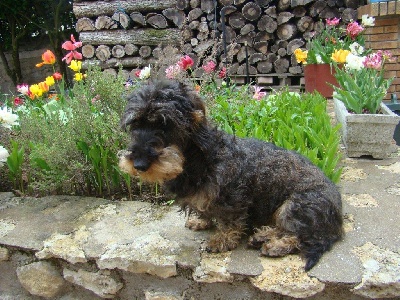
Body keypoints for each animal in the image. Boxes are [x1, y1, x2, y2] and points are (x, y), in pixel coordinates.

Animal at [119, 78, 344, 270]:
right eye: (135, 124)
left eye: (165, 125)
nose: (138, 164)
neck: (197, 158)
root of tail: (337, 221)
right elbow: (204, 210)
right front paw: (201, 221)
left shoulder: (233, 197)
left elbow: (230, 222)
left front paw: (222, 240)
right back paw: (262, 236)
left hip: (293, 207)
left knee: (300, 236)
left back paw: (274, 245)